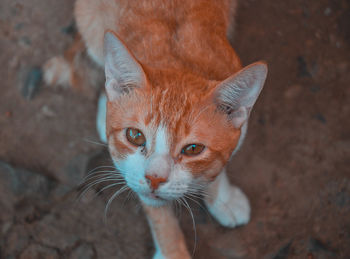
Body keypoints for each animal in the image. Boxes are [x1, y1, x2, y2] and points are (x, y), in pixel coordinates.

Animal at [43, 1, 268, 258]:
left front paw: (222, 197)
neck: (177, 60)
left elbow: (220, 164)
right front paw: (172, 250)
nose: (154, 179)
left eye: (193, 149)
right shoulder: (132, 172)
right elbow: (160, 217)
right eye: (135, 136)